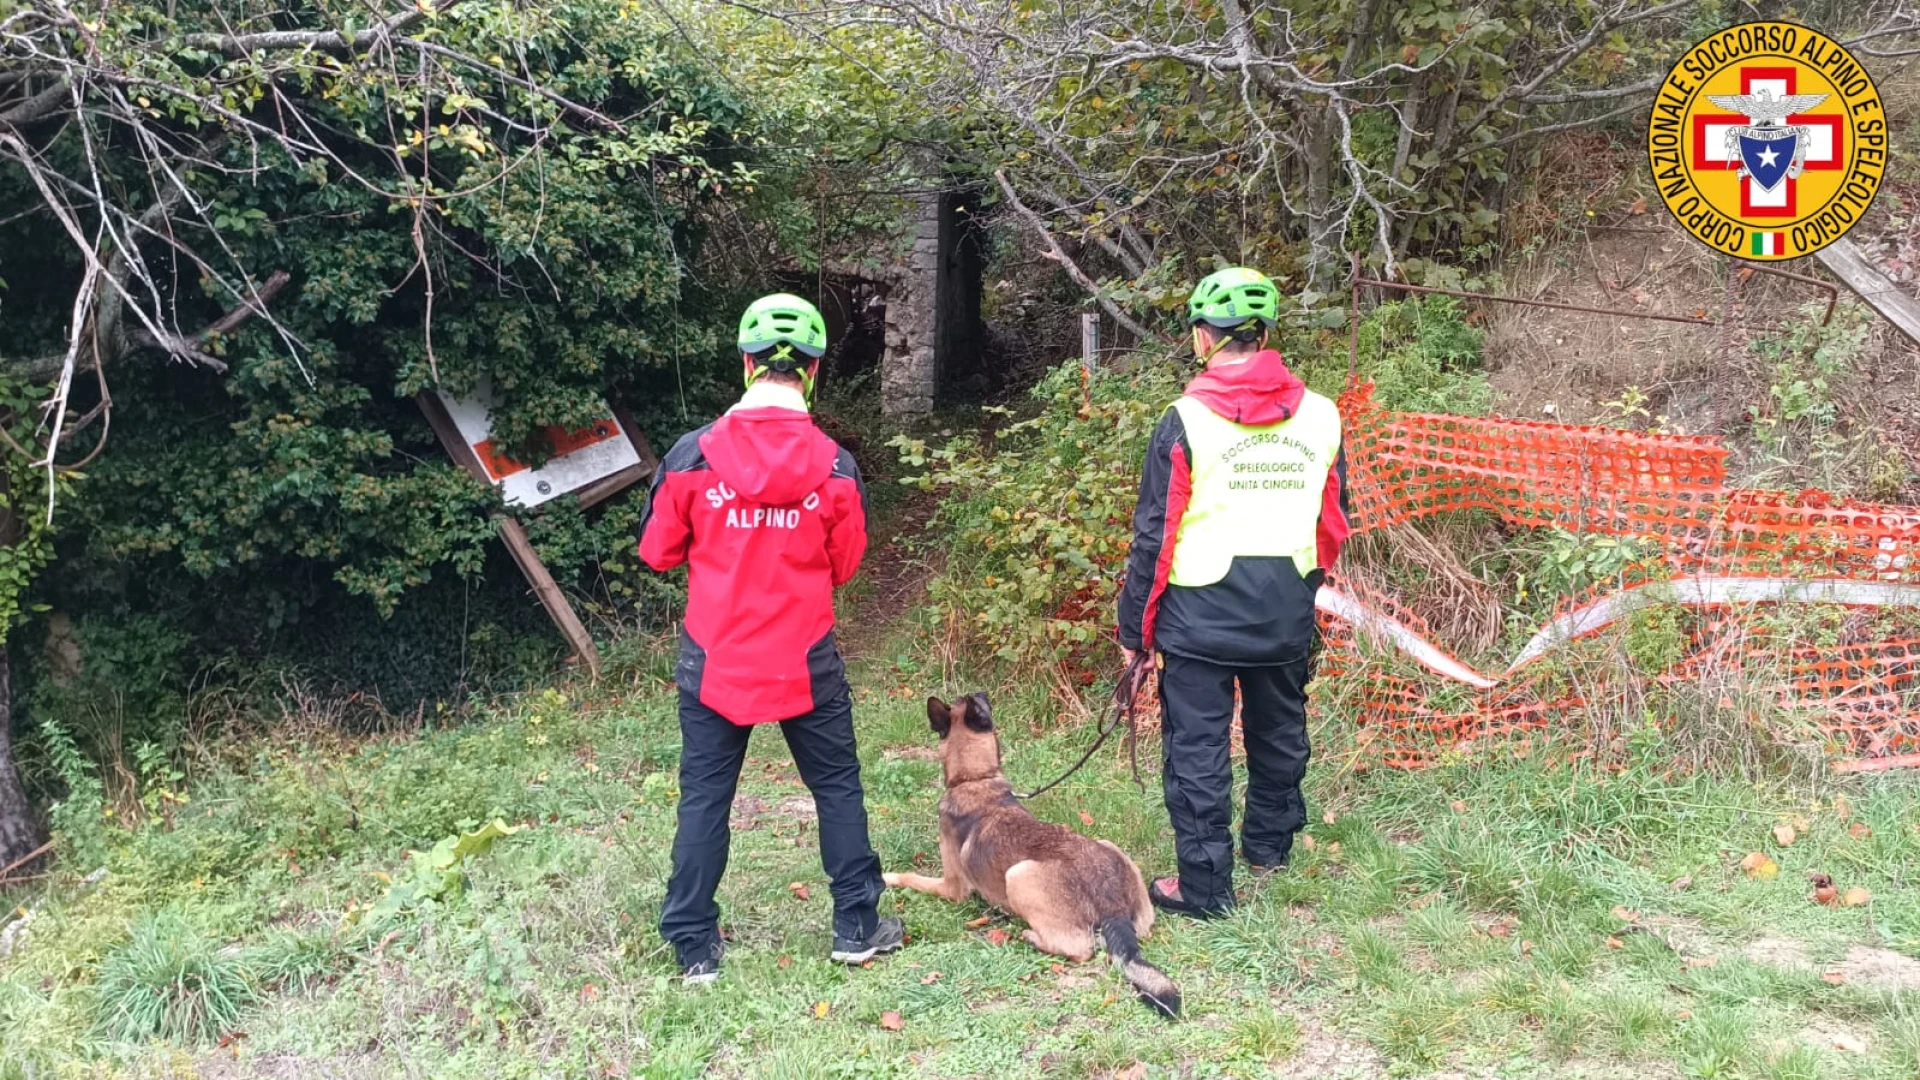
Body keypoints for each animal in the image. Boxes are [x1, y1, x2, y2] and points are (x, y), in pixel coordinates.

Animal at [887, 691, 1182, 1014]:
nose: (981, 693)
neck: (976, 779)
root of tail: (1111, 904)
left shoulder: (952, 887)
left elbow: (910, 876)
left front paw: (887, 877)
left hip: (1018, 875)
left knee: (1080, 949)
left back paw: (1029, 937)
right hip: (1111, 850)